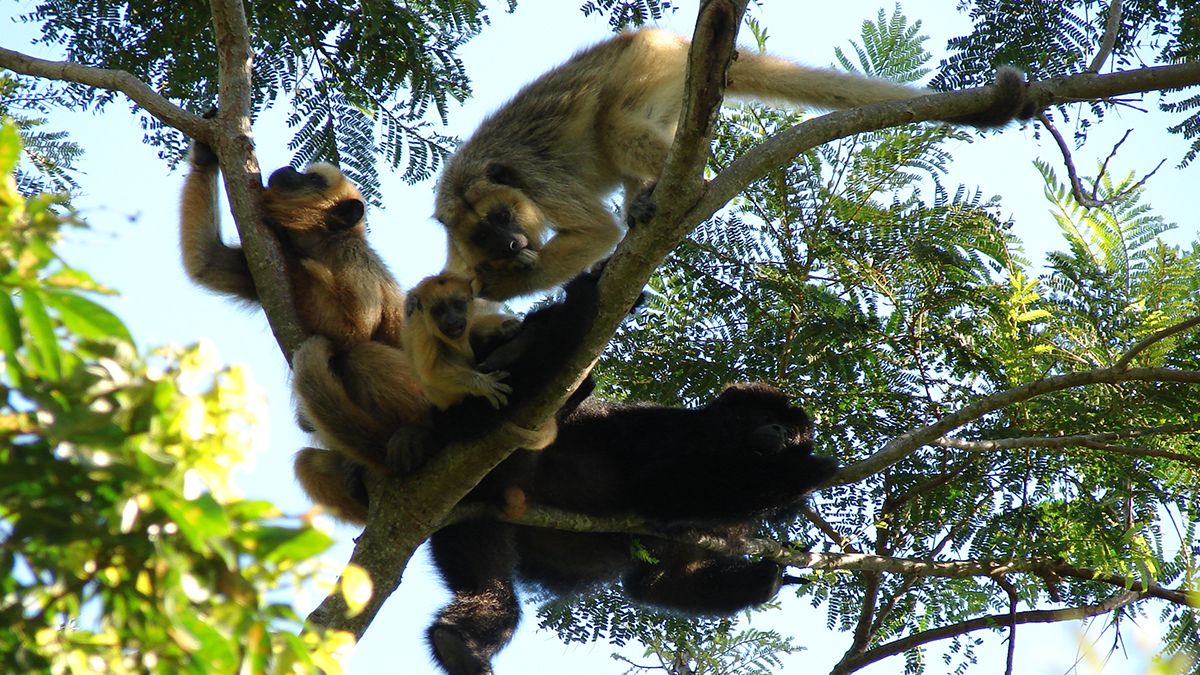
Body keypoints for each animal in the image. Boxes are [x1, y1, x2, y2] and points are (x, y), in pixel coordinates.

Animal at [435, 28, 1034, 302]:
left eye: (503, 217)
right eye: (486, 235)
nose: (510, 243)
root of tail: (669, 39)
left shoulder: (535, 182)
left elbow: (594, 231)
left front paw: (497, 288)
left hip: (644, 64)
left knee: (614, 125)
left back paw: (687, 187)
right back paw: (645, 199)